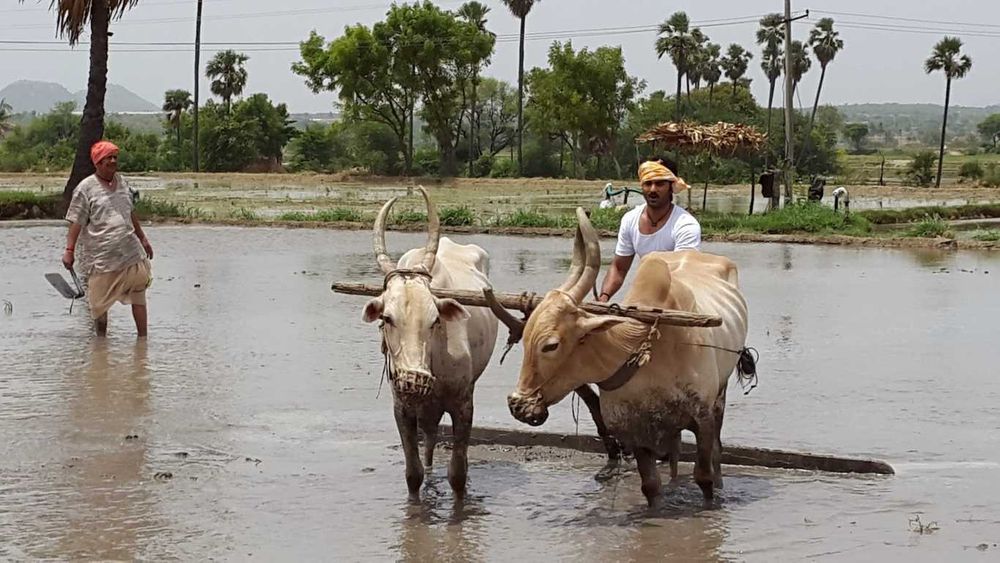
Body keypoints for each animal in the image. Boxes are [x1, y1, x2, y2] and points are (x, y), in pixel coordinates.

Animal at [360, 187, 498, 501]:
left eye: (435, 319)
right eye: (387, 318)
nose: (414, 379)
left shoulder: (463, 404)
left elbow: (458, 474)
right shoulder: (401, 407)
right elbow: (413, 474)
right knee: (431, 438)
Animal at [501, 208, 749, 506]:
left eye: (551, 345)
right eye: (525, 338)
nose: (517, 405)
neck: (640, 350)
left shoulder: (703, 417)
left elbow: (704, 477)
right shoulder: (635, 431)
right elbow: (651, 486)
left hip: (721, 394)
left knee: (716, 451)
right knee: (675, 453)